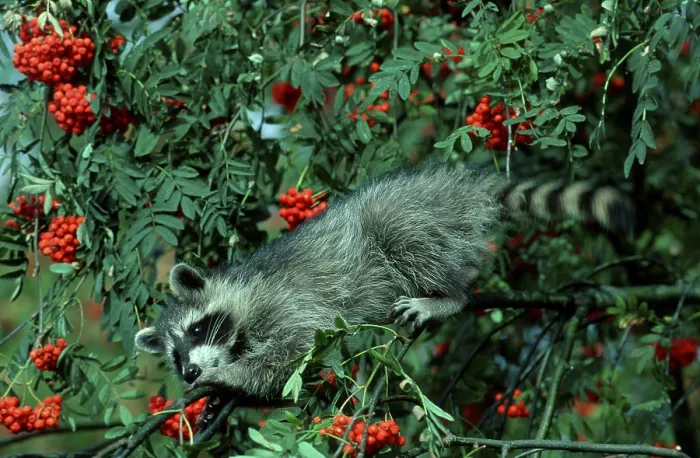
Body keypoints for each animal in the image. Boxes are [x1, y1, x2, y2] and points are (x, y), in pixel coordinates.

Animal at [134, 164, 632, 416]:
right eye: (175, 356)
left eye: (196, 331)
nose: (191, 372)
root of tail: (457, 184)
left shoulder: (281, 303)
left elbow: (292, 350)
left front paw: (229, 377)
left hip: (412, 217)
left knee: (403, 240)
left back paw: (449, 297)